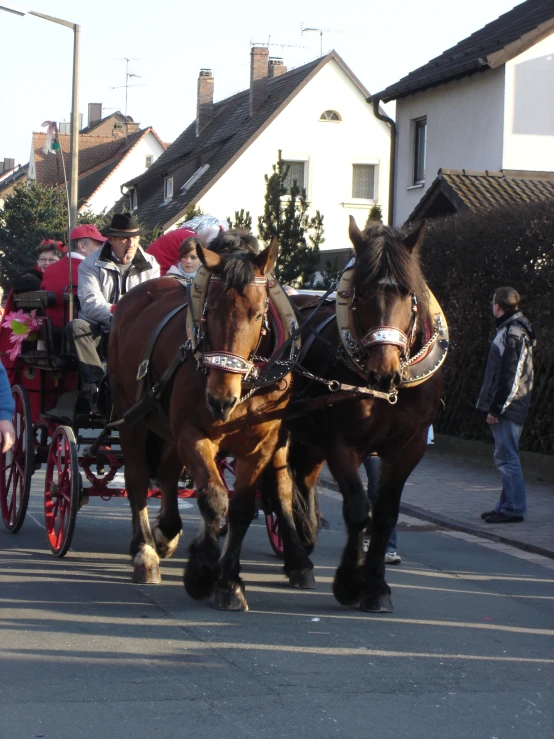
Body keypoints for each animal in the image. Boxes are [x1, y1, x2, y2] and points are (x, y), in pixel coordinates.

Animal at [108, 243, 314, 612]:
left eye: (259, 314)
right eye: (210, 310)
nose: (220, 398)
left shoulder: (261, 445)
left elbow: (242, 508)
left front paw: (230, 582)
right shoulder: (193, 434)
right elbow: (215, 498)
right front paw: (202, 571)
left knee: (170, 471)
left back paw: (168, 532)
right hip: (131, 413)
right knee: (137, 478)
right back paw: (144, 551)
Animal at [284, 218, 444, 612]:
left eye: (407, 293)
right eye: (360, 293)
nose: (383, 371)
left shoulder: (409, 448)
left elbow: (384, 513)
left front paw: (376, 587)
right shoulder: (342, 444)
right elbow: (357, 509)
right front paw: (349, 582)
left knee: (301, 478)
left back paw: (304, 540)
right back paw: (296, 559)